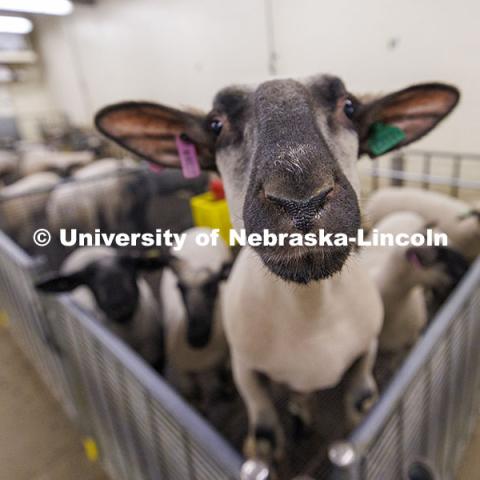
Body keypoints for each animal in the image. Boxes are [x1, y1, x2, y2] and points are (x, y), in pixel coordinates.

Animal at [159, 229, 232, 398]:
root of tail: (198, 230)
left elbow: (213, 391)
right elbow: (190, 390)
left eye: (213, 286)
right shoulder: (183, 374)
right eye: (180, 287)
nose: (196, 337)